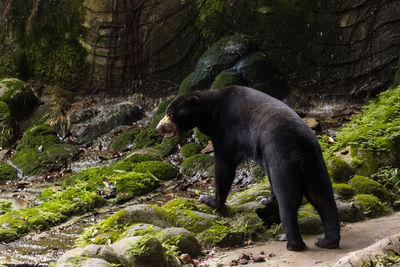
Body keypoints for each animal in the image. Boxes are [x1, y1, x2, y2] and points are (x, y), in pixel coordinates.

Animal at [156, 86, 340, 253]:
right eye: (166, 112)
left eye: (171, 114)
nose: (158, 127)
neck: (210, 110)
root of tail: (301, 148)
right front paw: (263, 199)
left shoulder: (227, 131)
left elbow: (224, 167)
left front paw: (208, 199)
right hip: (314, 163)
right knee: (322, 197)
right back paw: (327, 241)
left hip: (281, 158)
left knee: (289, 200)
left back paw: (294, 244)